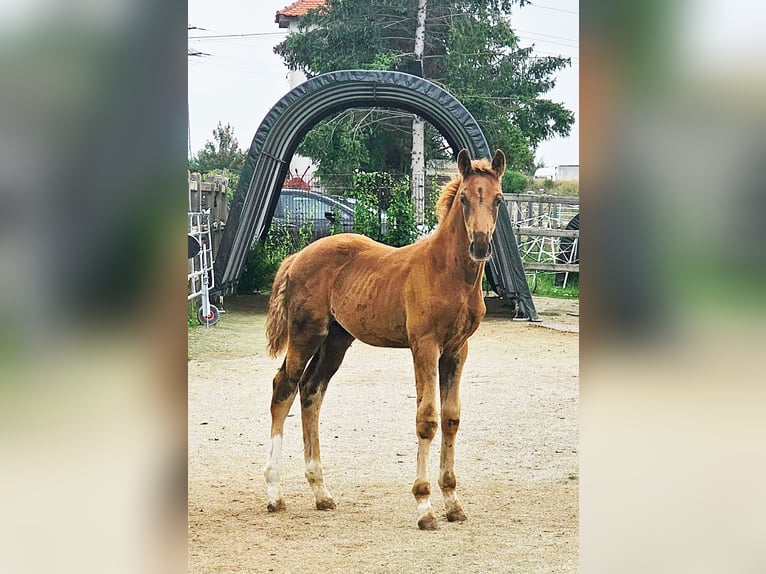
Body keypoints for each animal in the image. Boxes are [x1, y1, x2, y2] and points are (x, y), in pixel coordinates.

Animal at [263, 149, 506, 530]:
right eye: (465, 199)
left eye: (498, 199)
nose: (480, 245)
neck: (448, 273)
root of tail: (297, 256)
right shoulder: (425, 345)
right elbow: (427, 419)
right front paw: (425, 507)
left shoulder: (457, 349)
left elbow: (451, 418)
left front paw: (453, 502)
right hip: (306, 333)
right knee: (283, 387)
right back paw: (274, 494)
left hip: (336, 340)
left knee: (311, 390)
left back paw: (321, 492)